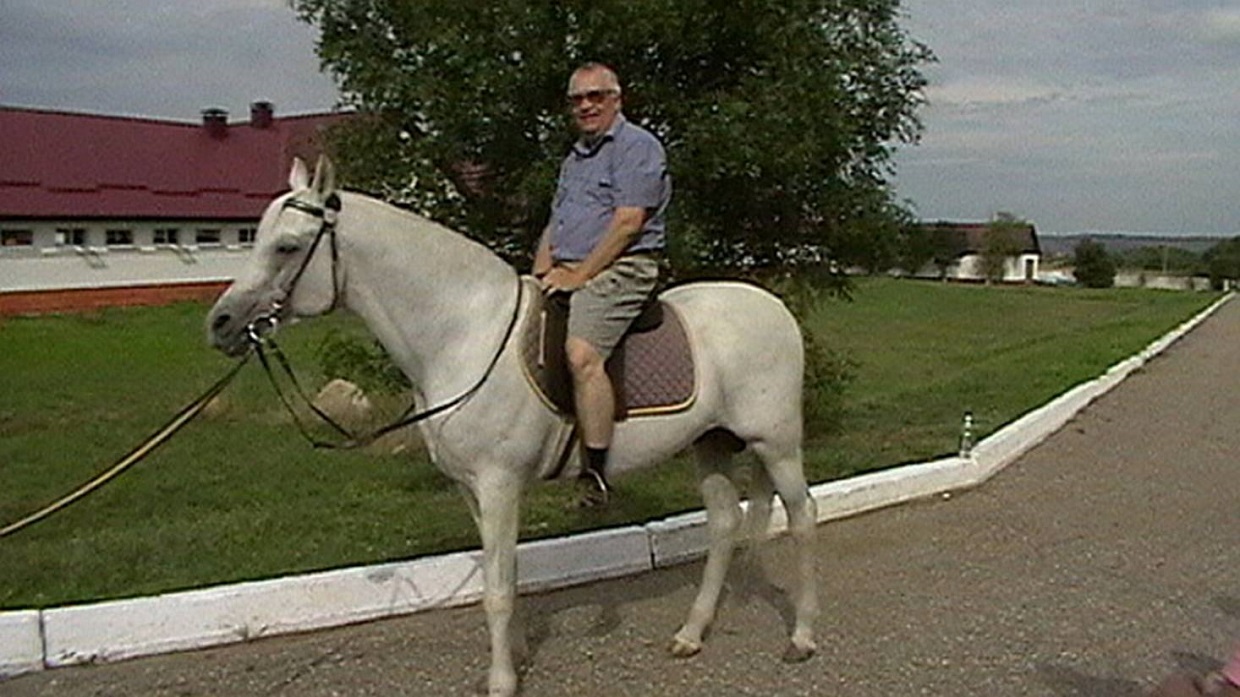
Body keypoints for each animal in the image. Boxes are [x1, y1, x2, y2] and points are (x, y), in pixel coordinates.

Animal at [208, 157, 818, 694]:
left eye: (286, 246)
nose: (220, 323)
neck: (465, 332)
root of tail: (774, 307)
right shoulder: (472, 490)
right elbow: (503, 576)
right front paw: (517, 656)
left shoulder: (499, 483)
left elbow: (497, 590)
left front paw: (502, 680)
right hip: (709, 443)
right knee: (723, 524)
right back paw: (691, 634)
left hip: (777, 444)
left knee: (802, 516)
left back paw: (802, 638)